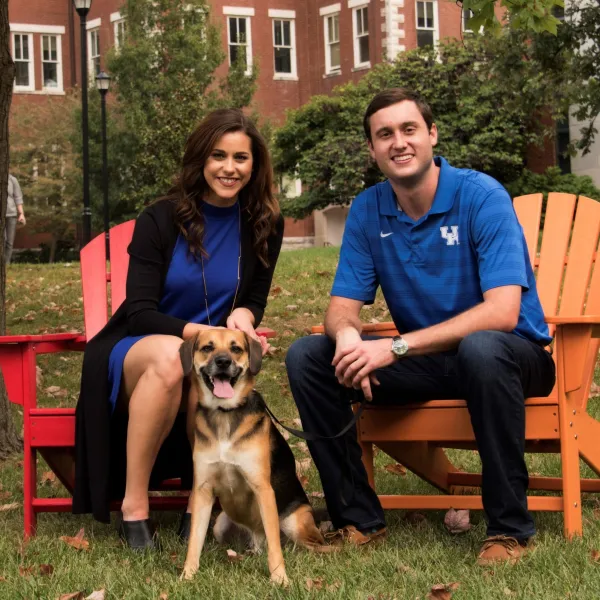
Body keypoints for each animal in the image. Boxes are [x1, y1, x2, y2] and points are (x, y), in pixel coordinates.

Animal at [180, 328, 330, 584]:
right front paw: (187, 575)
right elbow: (194, 541)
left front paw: (279, 578)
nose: (223, 361)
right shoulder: (202, 490)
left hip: (294, 523)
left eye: (236, 348)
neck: (225, 414)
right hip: (220, 524)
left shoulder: (262, 488)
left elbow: (275, 545)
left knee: (314, 545)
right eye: (208, 348)